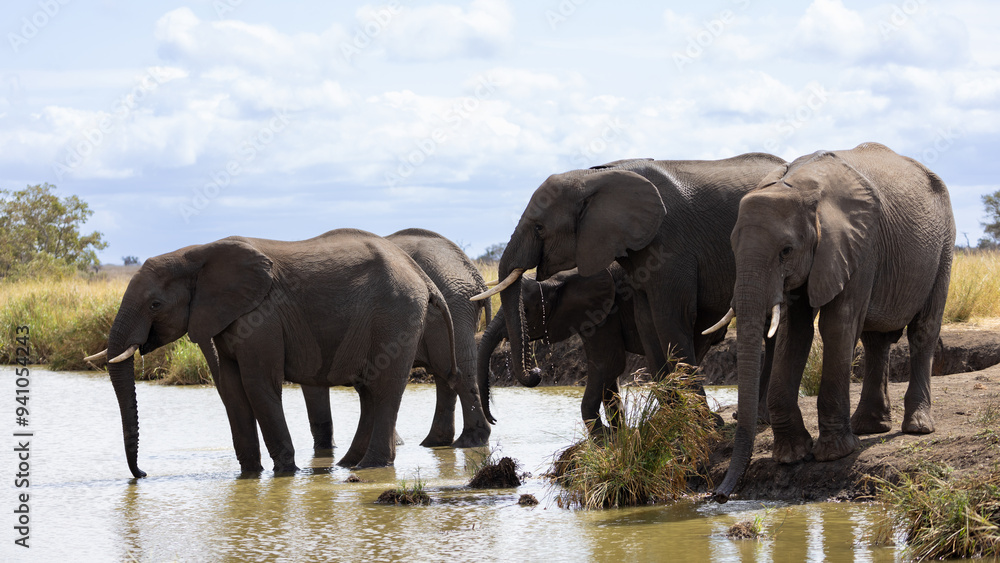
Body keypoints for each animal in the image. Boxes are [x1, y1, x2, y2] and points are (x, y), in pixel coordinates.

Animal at [85, 229, 465, 476]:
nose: (142, 474)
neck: (195, 254)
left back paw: (370, 467)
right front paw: (249, 476)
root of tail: (422, 276)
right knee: (369, 391)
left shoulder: (261, 316)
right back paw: (347, 465)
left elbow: (257, 385)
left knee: (384, 388)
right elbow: (232, 389)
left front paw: (285, 473)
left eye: (155, 304)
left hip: (396, 316)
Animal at [300, 228, 492, 451]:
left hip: (452, 307)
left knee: (453, 370)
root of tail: (475, 276)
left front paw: (325, 451)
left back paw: (467, 442)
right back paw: (436, 442)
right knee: (447, 372)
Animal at [472, 154, 786, 397]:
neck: (596, 177)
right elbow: (648, 322)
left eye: (539, 228)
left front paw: (703, 425)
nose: (537, 372)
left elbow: (672, 317)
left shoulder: (671, 246)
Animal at [477, 264, 644, 436]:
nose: (494, 420)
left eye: (526, 310)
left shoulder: (608, 310)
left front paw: (604, 435)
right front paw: (617, 434)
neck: (562, 277)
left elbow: (608, 364)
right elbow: (609, 375)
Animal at [710, 142, 955, 502]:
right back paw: (869, 427)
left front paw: (834, 454)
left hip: (944, 245)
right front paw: (792, 456)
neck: (799, 188)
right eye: (731, 247)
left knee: (923, 330)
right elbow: (795, 332)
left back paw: (917, 427)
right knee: (875, 339)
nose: (719, 496)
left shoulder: (858, 245)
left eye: (786, 250)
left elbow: (837, 325)